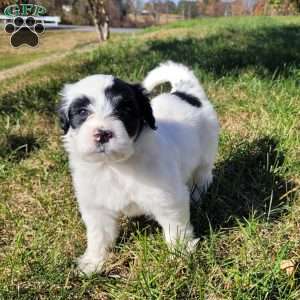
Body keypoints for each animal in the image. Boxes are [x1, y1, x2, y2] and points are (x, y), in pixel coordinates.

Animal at [58, 61, 219, 274]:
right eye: (82, 112)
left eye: (125, 110)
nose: (102, 134)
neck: (114, 166)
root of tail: (186, 92)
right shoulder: (96, 207)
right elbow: (98, 235)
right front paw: (93, 262)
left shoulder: (168, 199)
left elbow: (175, 227)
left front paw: (181, 253)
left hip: (205, 154)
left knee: (202, 176)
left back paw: (197, 196)